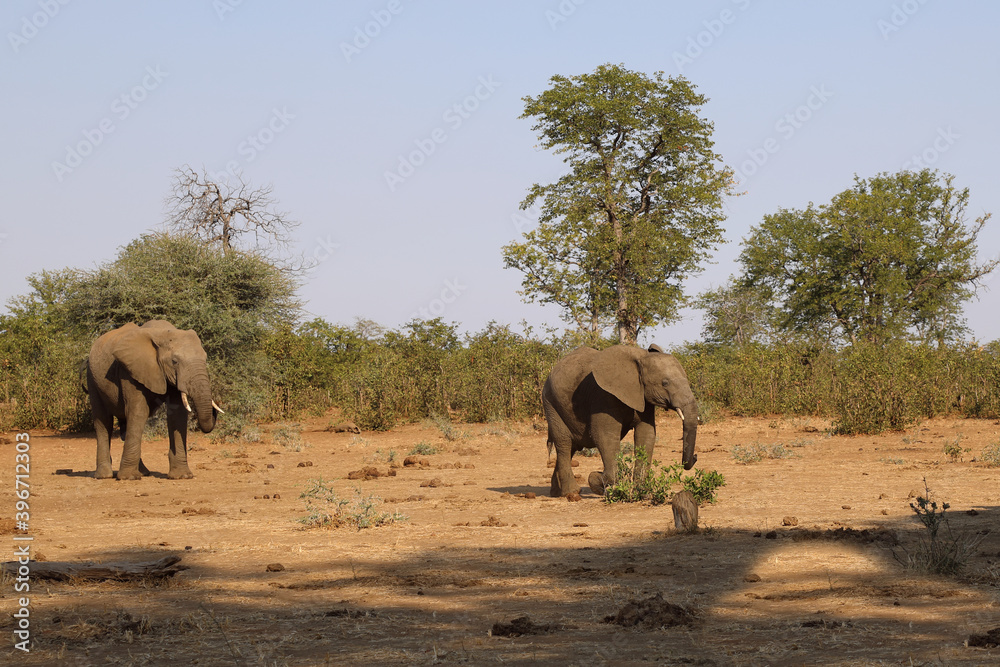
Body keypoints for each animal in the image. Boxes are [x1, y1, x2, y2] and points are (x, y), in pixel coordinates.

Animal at [84, 320, 222, 480]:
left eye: (205, 359)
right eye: (174, 361)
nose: (216, 406)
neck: (162, 333)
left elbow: (177, 415)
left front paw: (182, 476)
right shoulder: (130, 371)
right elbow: (139, 412)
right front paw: (129, 478)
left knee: (125, 424)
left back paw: (143, 472)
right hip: (92, 378)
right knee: (103, 421)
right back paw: (104, 475)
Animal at [542, 344, 698, 497]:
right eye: (665, 383)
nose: (695, 456)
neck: (641, 357)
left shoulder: (642, 397)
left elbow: (646, 433)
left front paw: (641, 491)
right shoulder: (603, 395)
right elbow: (605, 436)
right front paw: (598, 480)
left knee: (572, 447)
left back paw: (556, 493)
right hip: (550, 403)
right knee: (564, 443)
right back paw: (572, 493)